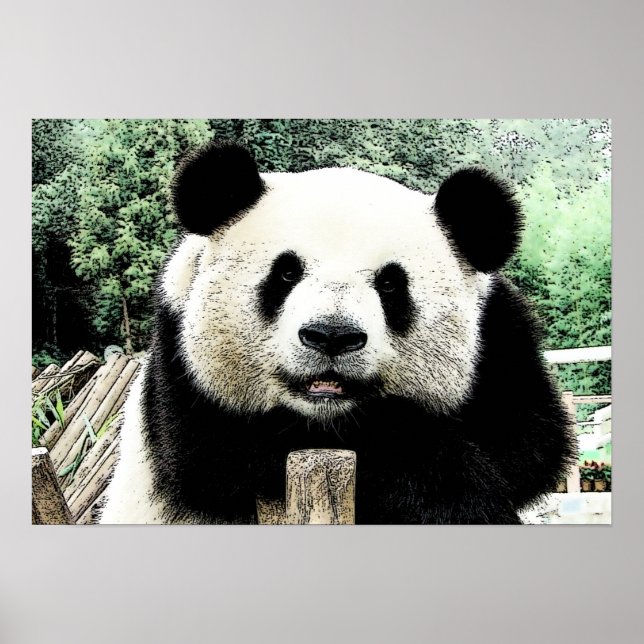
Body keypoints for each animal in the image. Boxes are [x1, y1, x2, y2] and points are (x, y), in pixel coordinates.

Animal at [99, 140, 575, 525]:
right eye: (286, 272)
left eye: (391, 284)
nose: (331, 336)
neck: (331, 414)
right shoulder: (180, 363)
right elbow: (217, 456)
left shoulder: (497, 336)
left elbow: (529, 441)